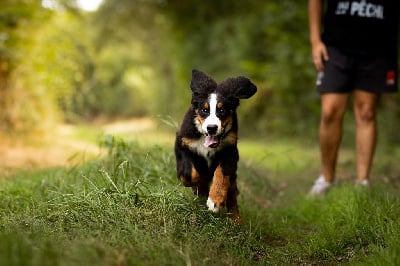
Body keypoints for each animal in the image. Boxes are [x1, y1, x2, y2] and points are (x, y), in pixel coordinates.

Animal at [174, 69, 256, 221]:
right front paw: (195, 185)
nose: (211, 128)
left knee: (232, 194)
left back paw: (236, 220)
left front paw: (215, 200)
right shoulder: (182, 142)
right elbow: (190, 172)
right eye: (204, 110)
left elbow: (221, 174)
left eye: (222, 110)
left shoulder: (230, 151)